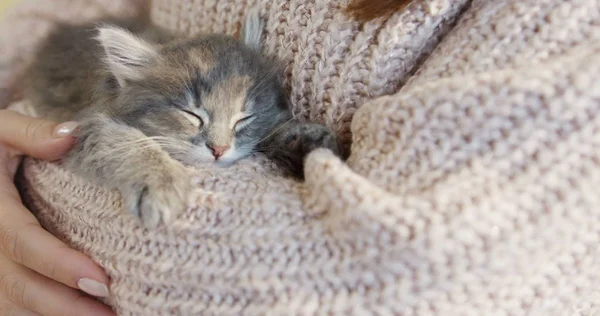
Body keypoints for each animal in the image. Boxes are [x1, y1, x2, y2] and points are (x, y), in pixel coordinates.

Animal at [24, 10, 342, 227]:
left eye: (244, 118)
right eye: (192, 114)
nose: (219, 149)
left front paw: (304, 139)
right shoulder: (83, 126)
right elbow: (126, 141)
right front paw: (161, 183)